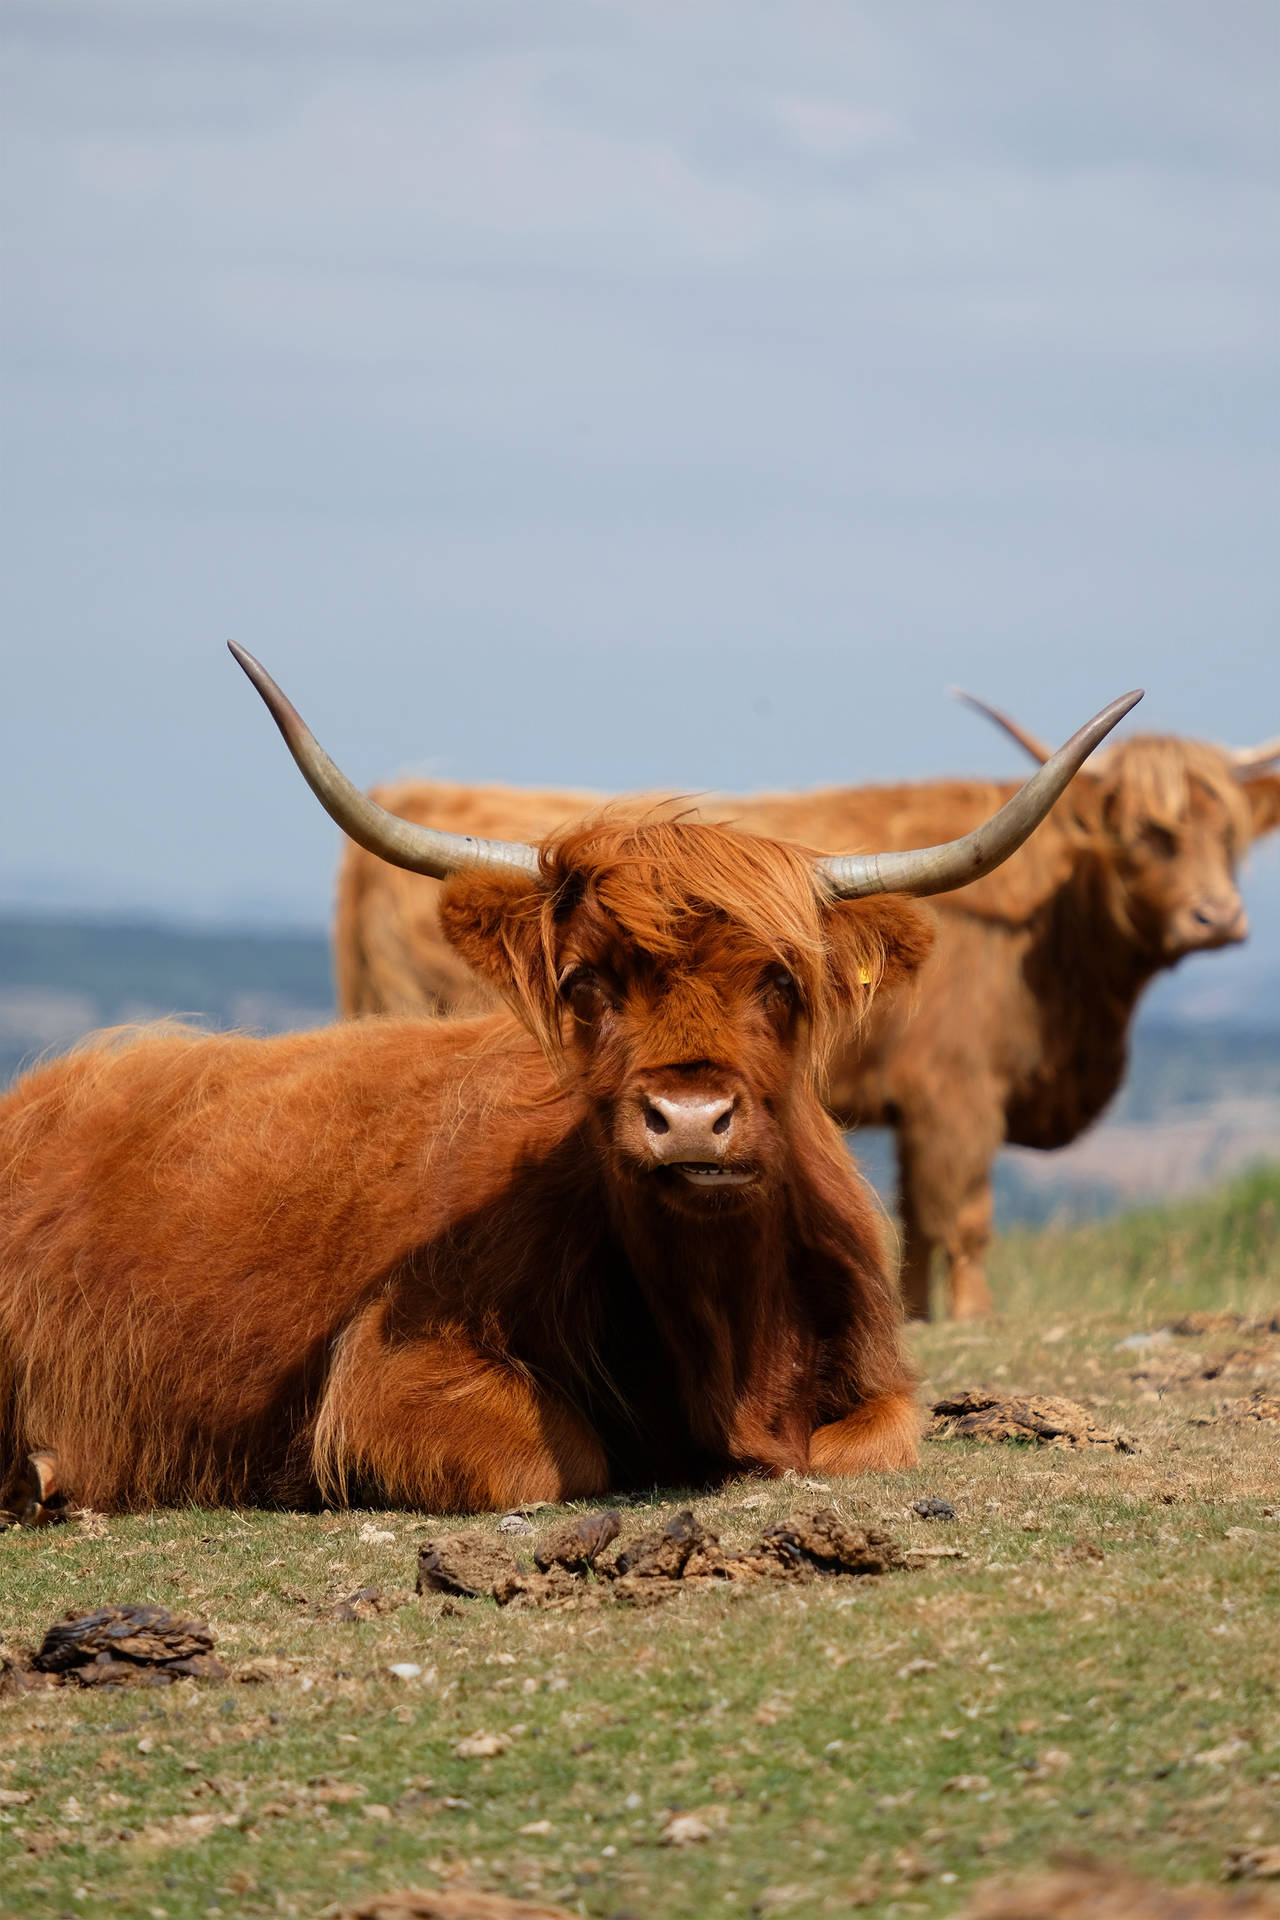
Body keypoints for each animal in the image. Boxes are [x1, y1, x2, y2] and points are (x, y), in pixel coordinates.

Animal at [0, 660, 1136, 1512]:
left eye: (780, 980)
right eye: (588, 982)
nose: (691, 1119)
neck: (726, 1330)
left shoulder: (878, 1384)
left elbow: (867, 1443)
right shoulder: (387, 1377)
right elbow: (561, 1457)